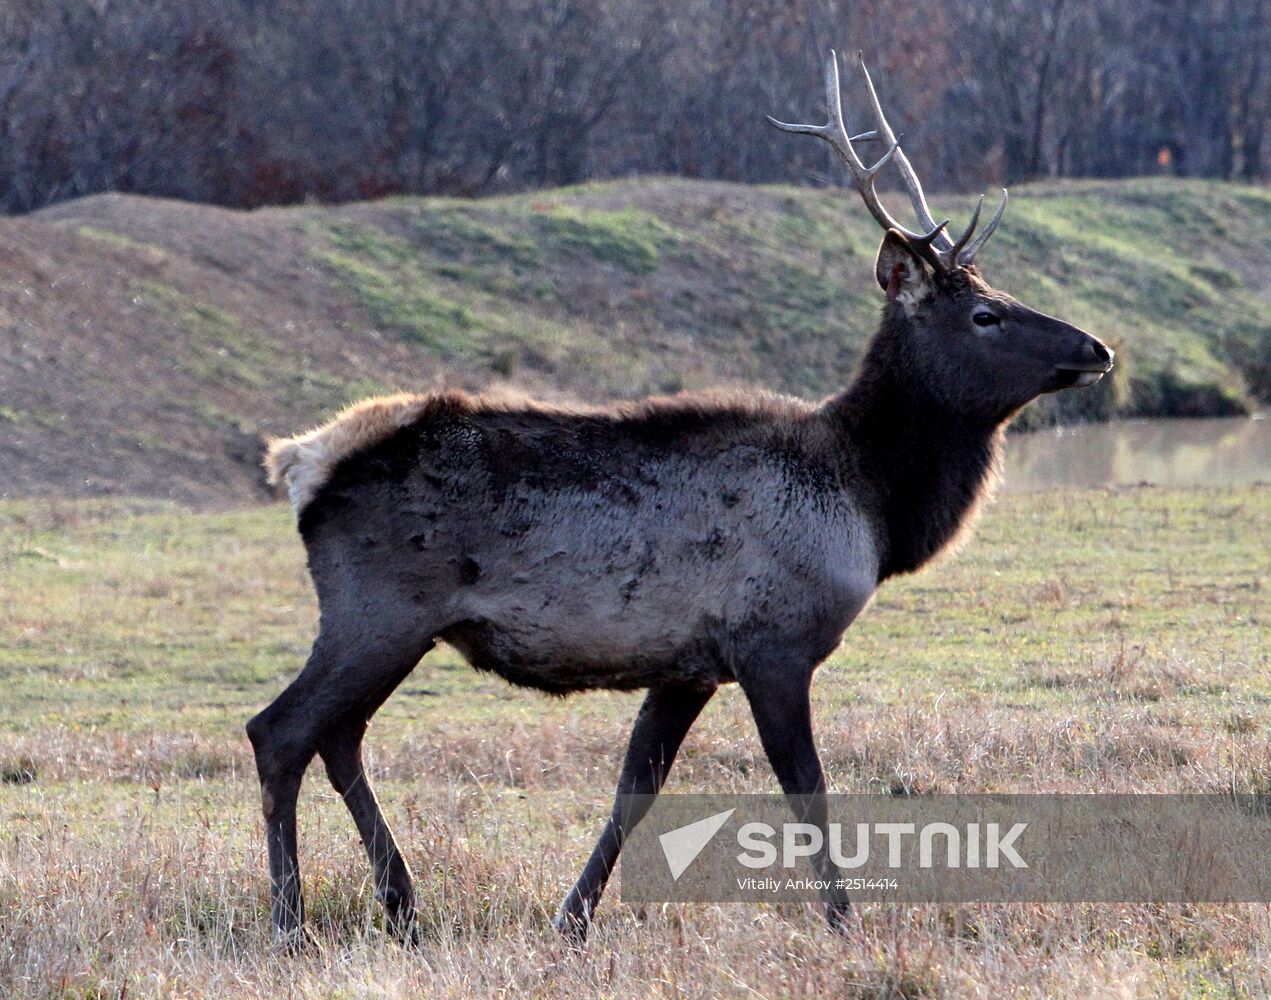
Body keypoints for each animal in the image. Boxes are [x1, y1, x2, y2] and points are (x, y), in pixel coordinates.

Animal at [247, 52, 1113, 945]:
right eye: (985, 313)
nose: (1097, 348)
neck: (871, 504)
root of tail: (301, 461)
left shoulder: (688, 663)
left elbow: (637, 786)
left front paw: (572, 918)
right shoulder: (771, 640)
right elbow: (806, 788)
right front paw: (843, 923)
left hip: (394, 624)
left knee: (339, 737)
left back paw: (403, 904)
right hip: (377, 608)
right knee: (279, 731)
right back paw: (290, 920)